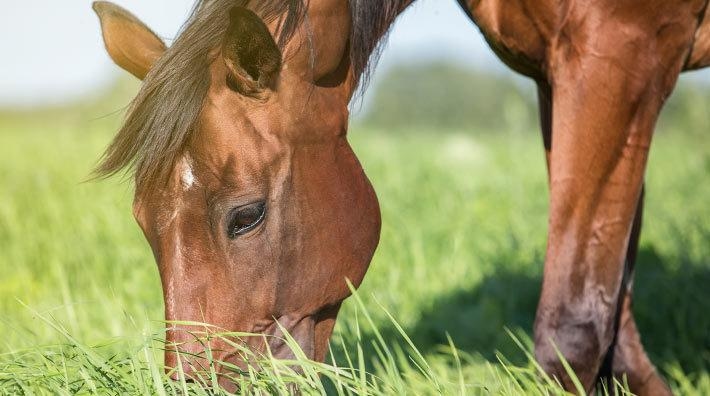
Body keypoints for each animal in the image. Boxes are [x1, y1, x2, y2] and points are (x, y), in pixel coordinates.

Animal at [93, 0, 710, 392]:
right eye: (143, 222)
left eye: (246, 216)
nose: (198, 389)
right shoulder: (555, 76)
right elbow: (615, 318)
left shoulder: (616, 55)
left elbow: (574, 331)